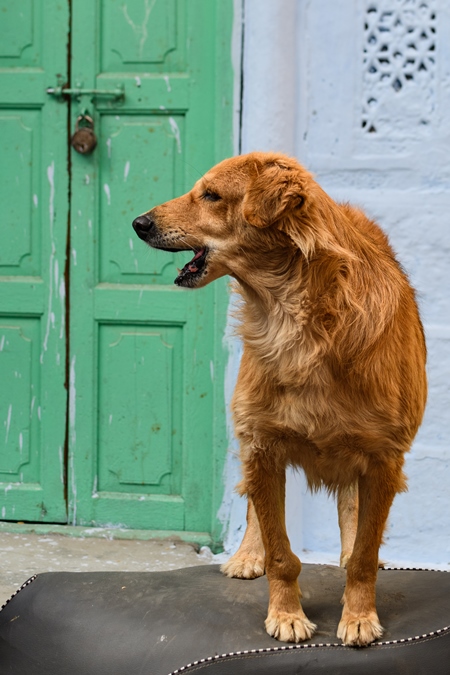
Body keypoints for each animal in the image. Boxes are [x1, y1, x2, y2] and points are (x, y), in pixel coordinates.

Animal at [132, 154, 428, 648]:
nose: (138, 223)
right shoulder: (263, 446)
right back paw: (247, 554)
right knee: (256, 508)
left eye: (210, 195)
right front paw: (286, 613)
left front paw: (359, 615)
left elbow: (365, 550)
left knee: (353, 508)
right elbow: (280, 552)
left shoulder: (384, 457)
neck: (298, 319)